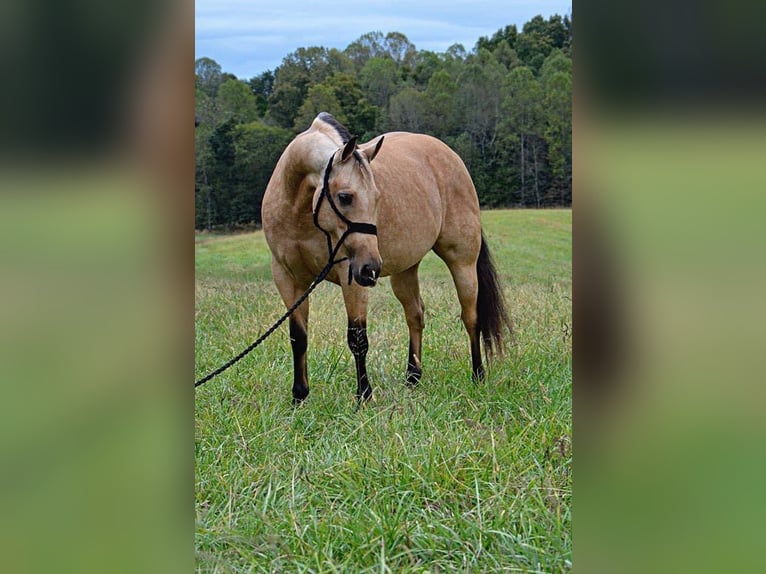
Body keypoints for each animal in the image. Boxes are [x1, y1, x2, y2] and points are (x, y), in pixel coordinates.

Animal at [262, 112, 510, 404]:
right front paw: (299, 397)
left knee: (471, 317)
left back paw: (478, 376)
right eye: (345, 197)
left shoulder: (351, 277)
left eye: (377, 197)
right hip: (405, 269)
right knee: (415, 315)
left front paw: (364, 396)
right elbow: (298, 337)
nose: (371, 268)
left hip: (462, 261)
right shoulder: (288, 279)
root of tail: (450, 156)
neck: (298, 212)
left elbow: (357, 338)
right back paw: (413, 378)